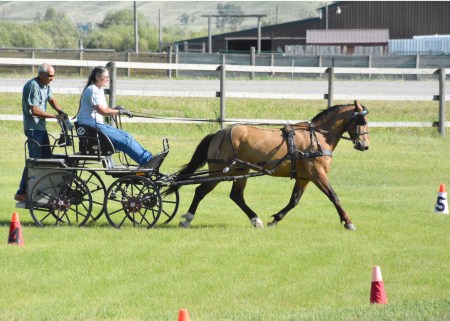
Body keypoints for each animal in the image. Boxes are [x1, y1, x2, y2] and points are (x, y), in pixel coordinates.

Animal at [165, 100, 370, 228]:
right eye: (361, 120)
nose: (365, 145)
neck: (317, 137)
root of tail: (220, 132)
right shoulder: (317, 173)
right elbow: (334, 196)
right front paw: (348, 222)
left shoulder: (304, 177)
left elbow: (294, 200)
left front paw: (276, 219)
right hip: (219, 171)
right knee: (200, 191)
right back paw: (187, 219)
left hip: (240, 170)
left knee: (236, 196)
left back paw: (255, 219)